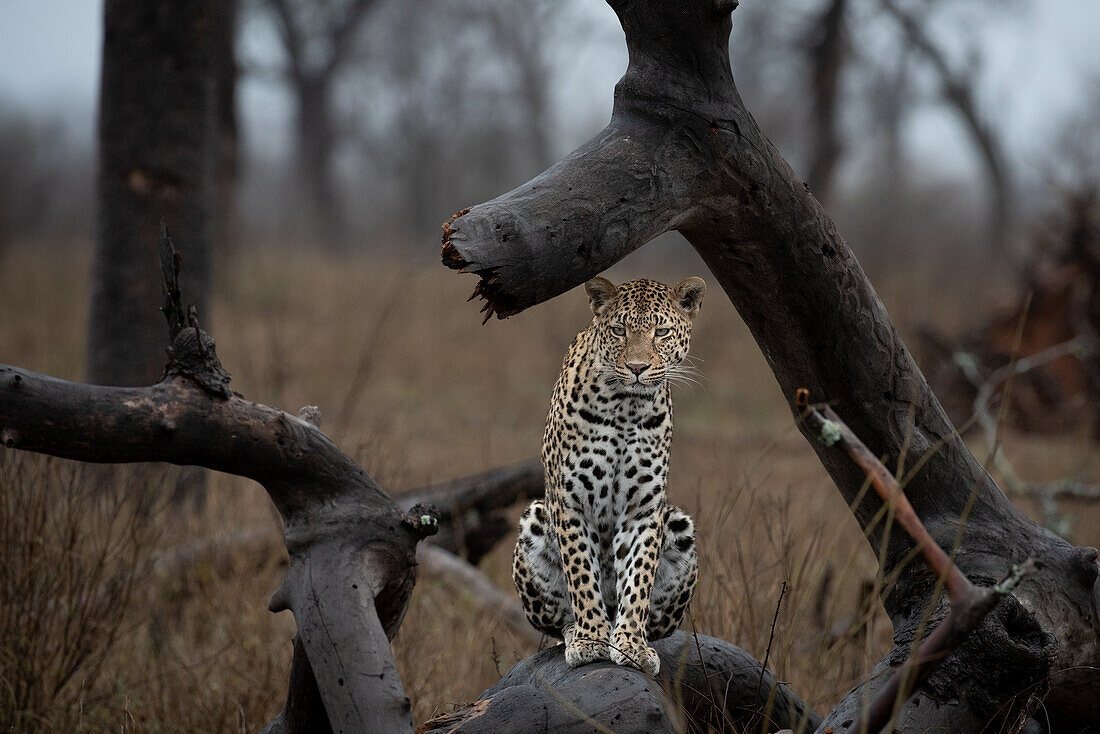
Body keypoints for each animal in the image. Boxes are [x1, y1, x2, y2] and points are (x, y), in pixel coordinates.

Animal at [508, 275, 704, 677]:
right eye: (619, 330)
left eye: (661, 332)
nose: (637, 367)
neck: (626, 408)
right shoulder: (571, 502)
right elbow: (582, 573)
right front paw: (591, 639)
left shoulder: (643, 508)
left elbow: (639, 577)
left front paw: (630, 643)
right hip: (534, 520)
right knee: (558, 619)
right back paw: (575, 632)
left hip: (679, 526)